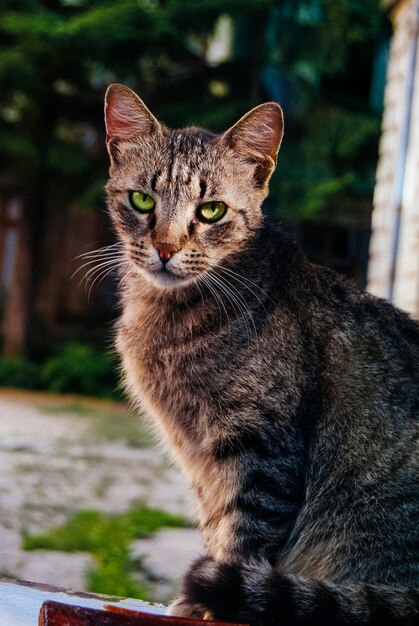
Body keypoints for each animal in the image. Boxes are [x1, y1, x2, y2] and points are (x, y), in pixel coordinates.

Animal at [103, 84, 418, 624]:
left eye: (211, 210)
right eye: (142, 200)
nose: (164, 248)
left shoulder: (261, 450)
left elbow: (243, 537)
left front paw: (214, 603)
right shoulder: (203, 463)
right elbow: (216, 528)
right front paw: (197, 604)